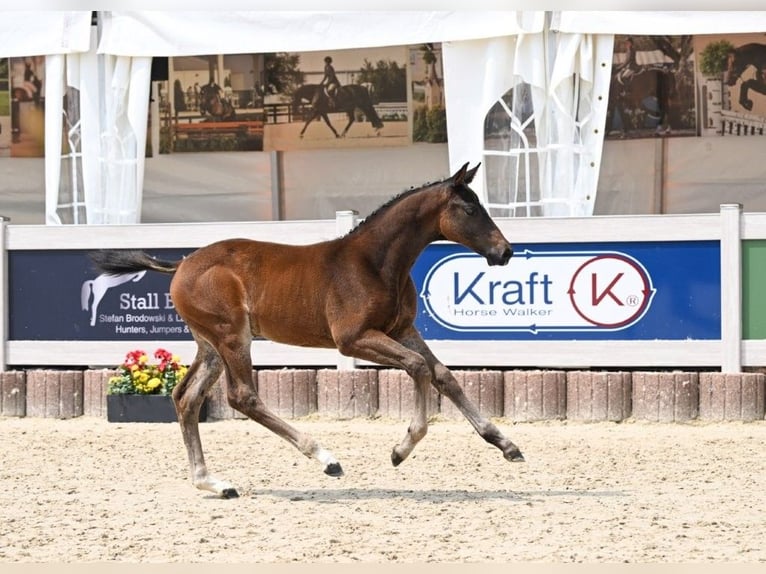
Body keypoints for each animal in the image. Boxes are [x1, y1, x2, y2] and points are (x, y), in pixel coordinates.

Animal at [89, 162, 522, 499]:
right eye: (469, 208)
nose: (505, 252)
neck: (374, 262)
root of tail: (180, 264)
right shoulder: (353, 339)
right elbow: (417, 367)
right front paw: (402, 449)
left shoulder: (402, 330)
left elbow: (443, 375)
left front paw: (506, 444)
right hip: (232, 336)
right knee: (242, 396)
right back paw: (326, 458)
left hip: (210, 345)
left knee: (186, 397)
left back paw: (213, 482)